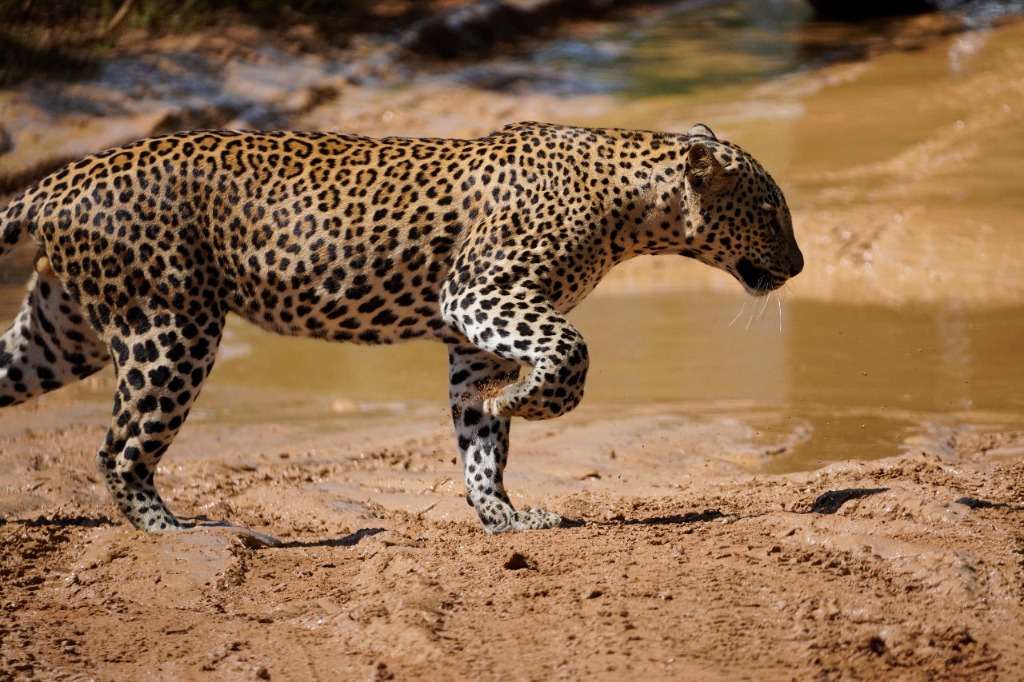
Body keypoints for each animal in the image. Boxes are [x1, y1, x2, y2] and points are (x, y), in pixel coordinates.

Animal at [0, 121, 802, 534]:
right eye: (769, 212)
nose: (797, 264)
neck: (633, 206)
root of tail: (59, 180)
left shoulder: (473, 339)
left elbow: (481, 442)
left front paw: (502, 515)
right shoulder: (479, 293)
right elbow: (569, 352)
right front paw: (524, 402)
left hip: (60, 332)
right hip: (168, 327)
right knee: (119, 447)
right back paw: (170, 528)